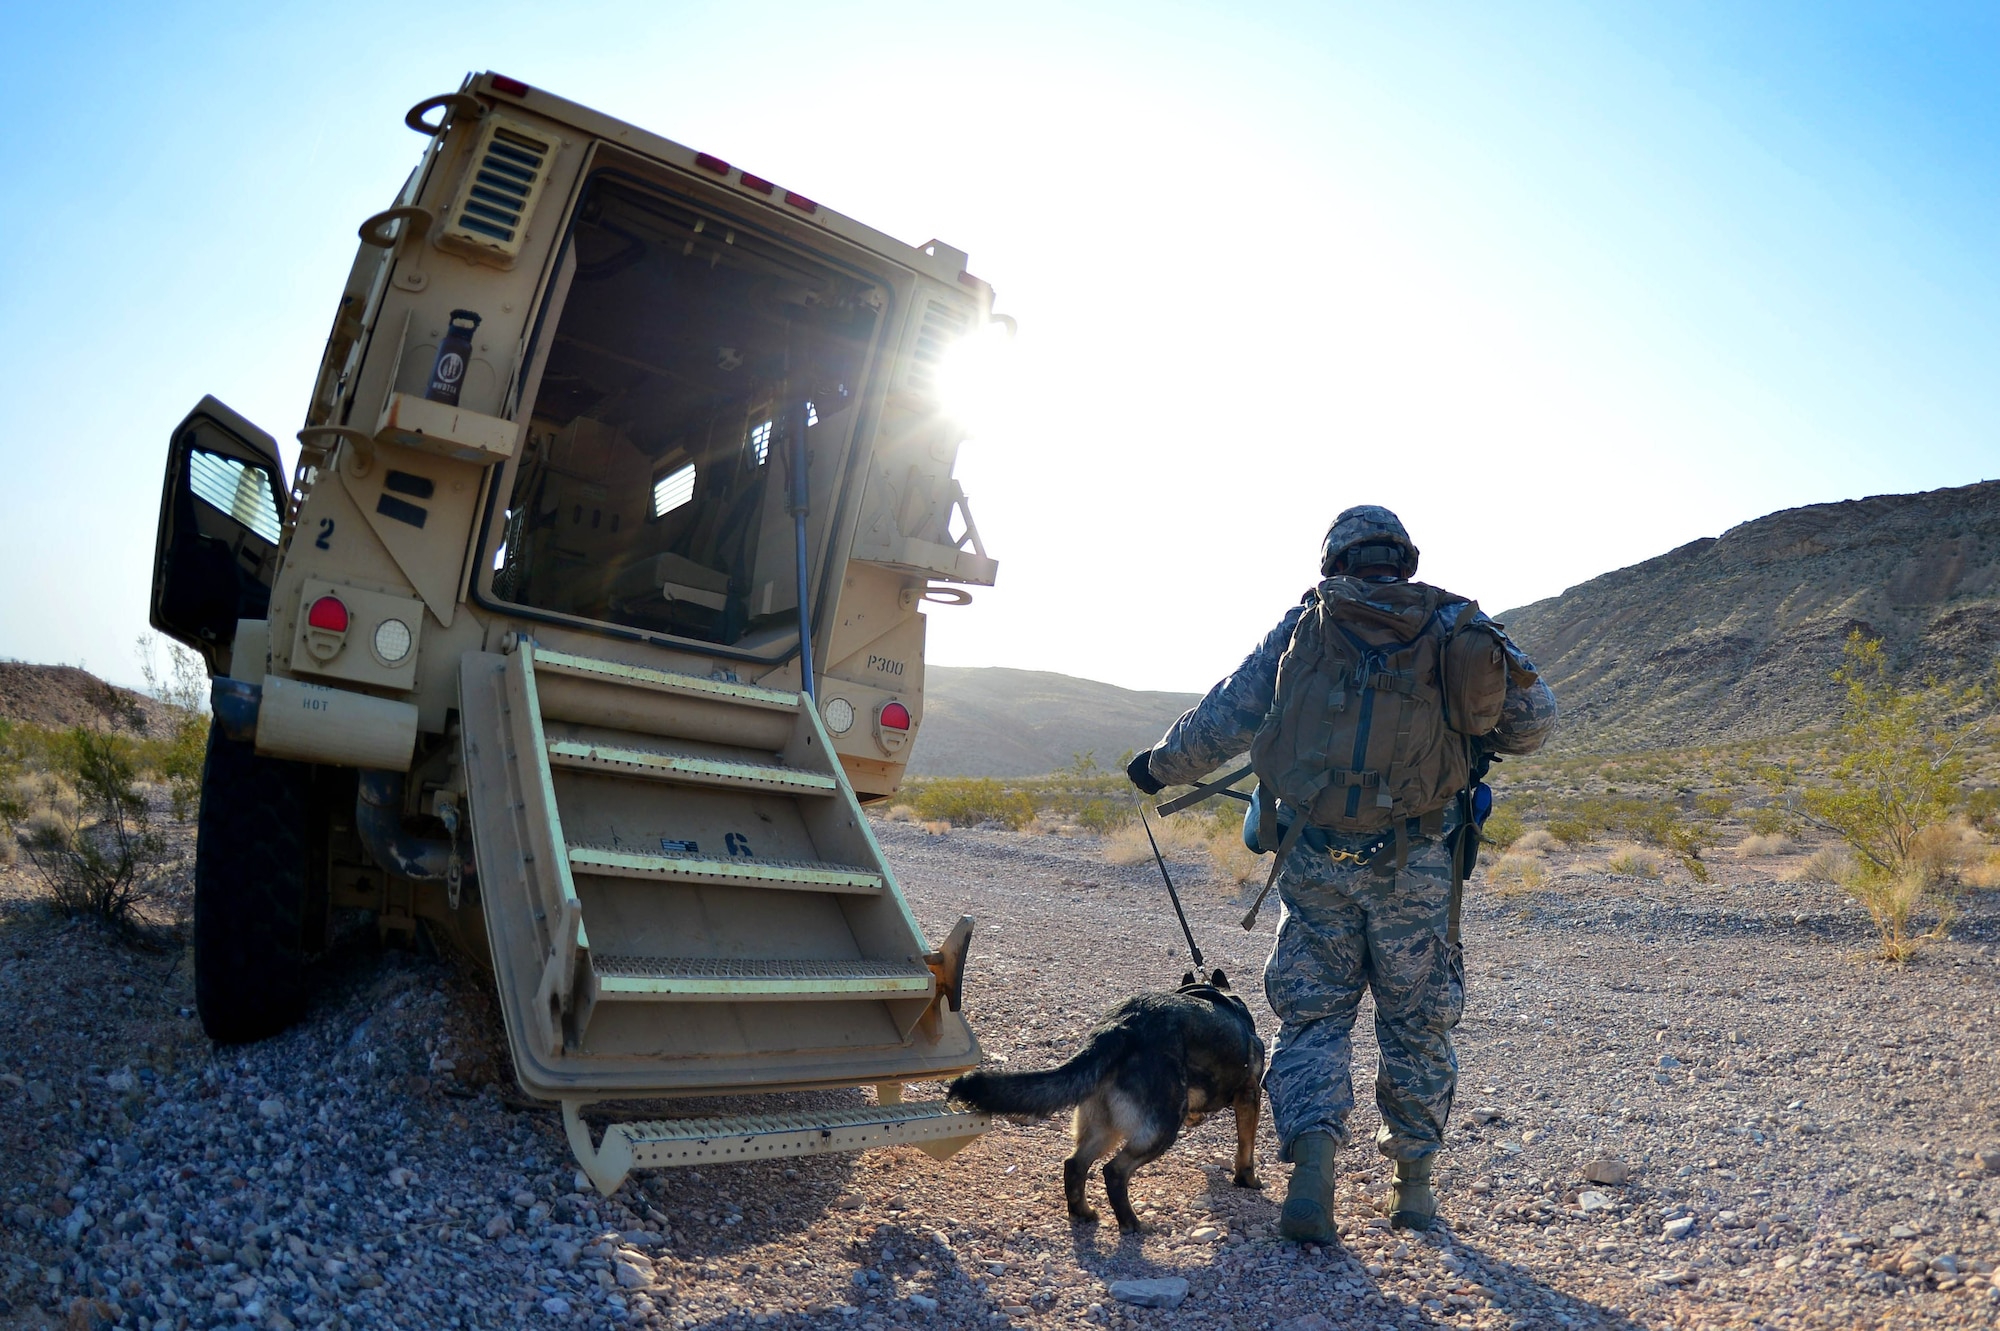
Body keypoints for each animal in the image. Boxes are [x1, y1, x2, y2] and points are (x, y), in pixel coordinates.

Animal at [948, 963, 1264, 1231]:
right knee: (1114, 1171)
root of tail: (1121, 1025)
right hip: (1160, 1128)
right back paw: (1131, 1223)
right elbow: (1246, 1147)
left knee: (1075, 1164)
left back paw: (1082, 1212)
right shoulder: (1250, 1096)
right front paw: (1247, 1179)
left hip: (1103, 1124)